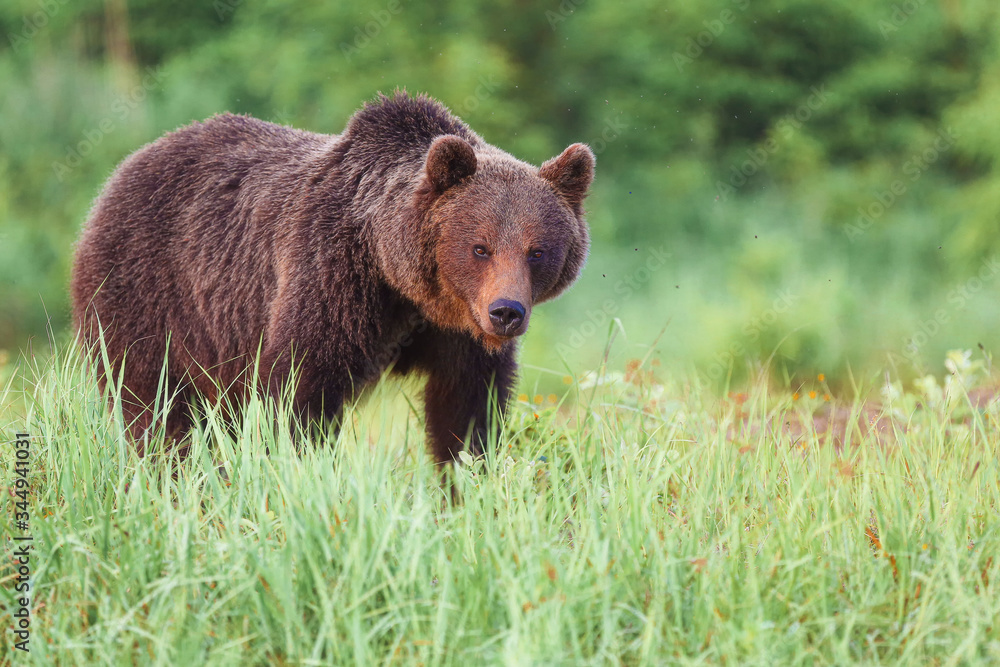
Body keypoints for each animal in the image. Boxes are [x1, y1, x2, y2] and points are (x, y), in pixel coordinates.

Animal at [76, 91, 600, 462]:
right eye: (480, 247)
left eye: (537, 251)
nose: (506, 313)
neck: (399, 277)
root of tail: (120, 173)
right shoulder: (332, 276)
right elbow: (298, 391)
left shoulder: (458, 332)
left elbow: (465, 409)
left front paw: (463, 485)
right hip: (151, 293)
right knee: (156, 405)